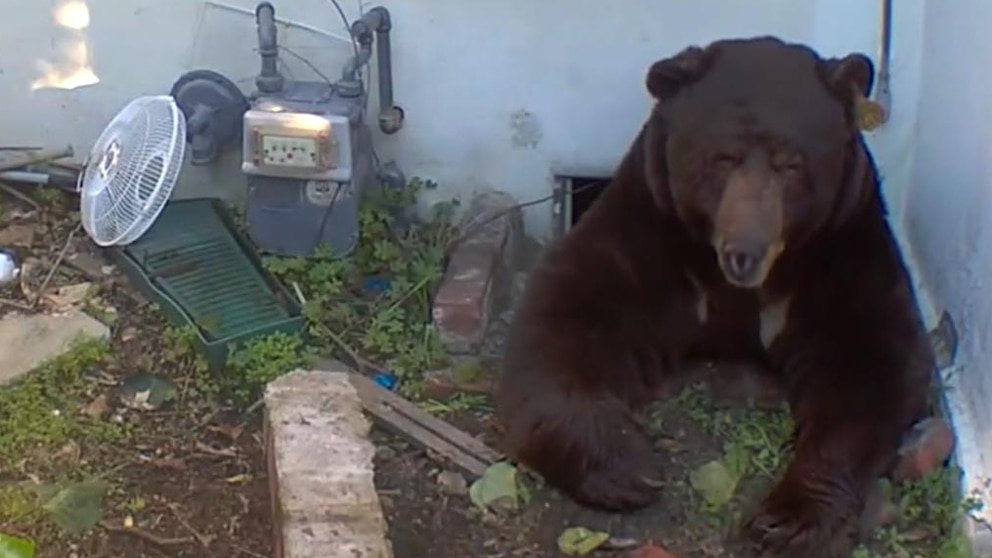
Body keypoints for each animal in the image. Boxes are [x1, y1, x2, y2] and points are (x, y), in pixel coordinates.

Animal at [495, 36, 935, 557]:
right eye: (722, 157)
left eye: (792, 164)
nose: (744, 252)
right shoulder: (650, 233)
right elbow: (565, 314)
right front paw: (628, 466)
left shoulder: (841, 251)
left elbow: (871, 363)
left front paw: (785, 519)